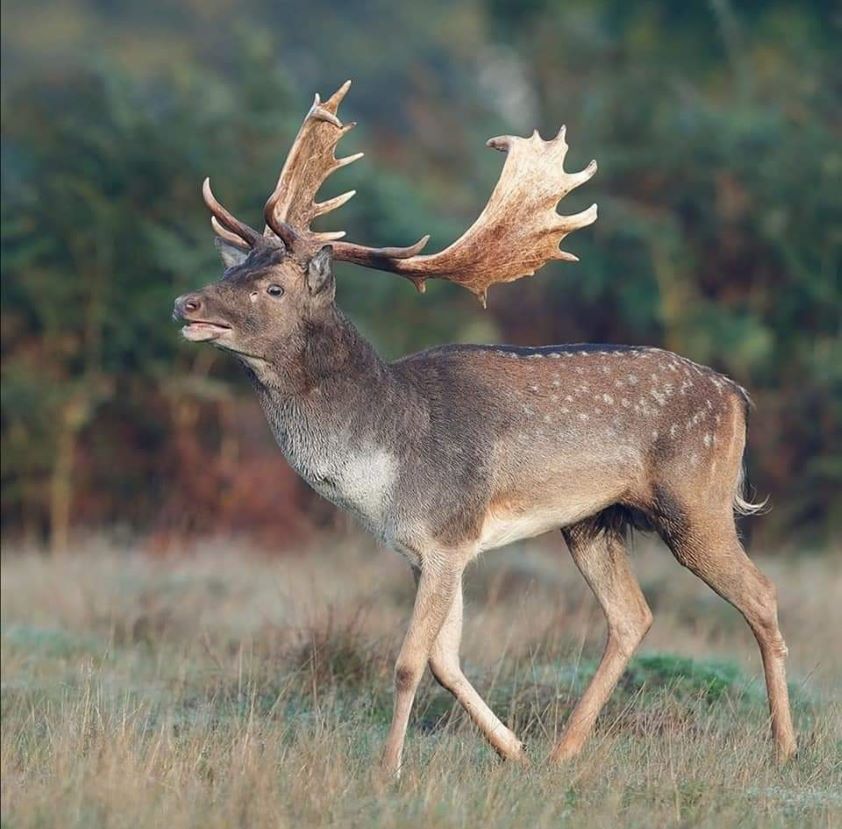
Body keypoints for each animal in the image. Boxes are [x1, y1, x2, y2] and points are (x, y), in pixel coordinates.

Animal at [172, 82, 796, 776]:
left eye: (274, 288)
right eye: (230, 273)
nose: (186, 303)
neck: (383, 464)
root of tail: (738, 395)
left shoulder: (448, 532)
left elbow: (410, 661)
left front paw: (388, 771)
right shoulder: (425, 551)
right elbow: (445, 660)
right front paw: (514, 749)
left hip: (696, 501)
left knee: (763, 595)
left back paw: (785, 748)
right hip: (592, 521)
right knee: (633, 615)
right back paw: (562, 751)